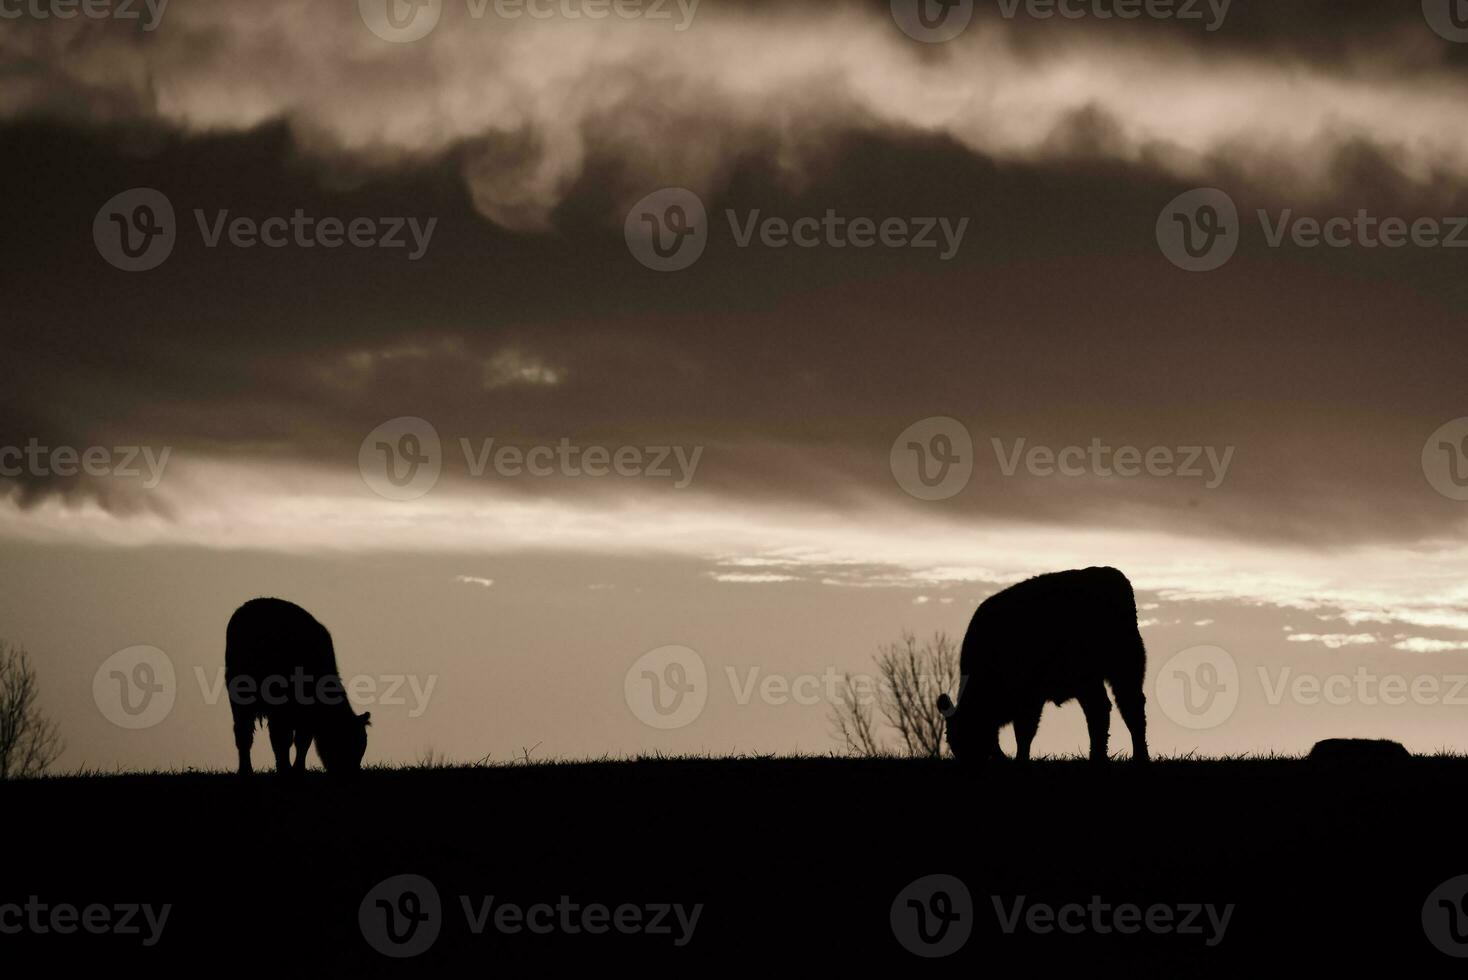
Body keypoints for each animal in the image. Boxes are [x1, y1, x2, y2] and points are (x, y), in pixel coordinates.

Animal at [227, 598, 372, 774]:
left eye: (361, 746)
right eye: (345, 743)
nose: (351, 771)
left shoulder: (305, 717)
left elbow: (302, 741)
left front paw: (298, 768)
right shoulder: (282, 710)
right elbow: (284, 739)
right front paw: (286, 768)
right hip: (241, 697)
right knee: (244, 734)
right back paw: (246, 769)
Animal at [939, 566, 1145, 762]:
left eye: (968, 735)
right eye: (951, 741)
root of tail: (1113, 575)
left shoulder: (1030, 698)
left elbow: (1024, 732)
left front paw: (1021, 758)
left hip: (1120, 669)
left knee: (1127, 708)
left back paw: (1136, 756)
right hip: (1097, 680)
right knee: (1104, 709)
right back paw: (1100, 756)